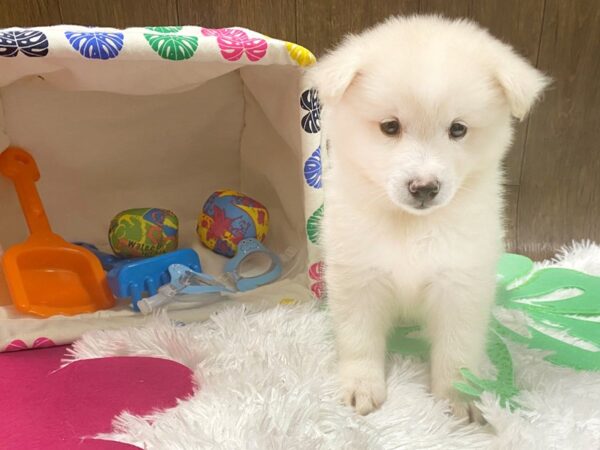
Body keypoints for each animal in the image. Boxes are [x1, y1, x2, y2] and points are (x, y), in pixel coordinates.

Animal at [310, 15, 548, 420]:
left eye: (458, 129)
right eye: (390, 126)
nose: (424, 187)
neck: (410, 225)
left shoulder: (460, 282)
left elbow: (456, 352)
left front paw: (457, 400)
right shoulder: (359, 275)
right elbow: (359, 339)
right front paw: (362, 387)